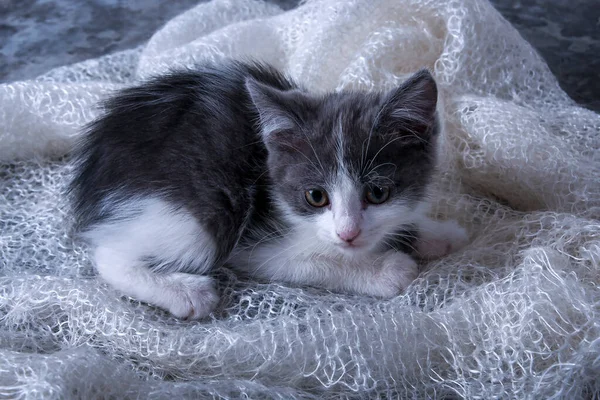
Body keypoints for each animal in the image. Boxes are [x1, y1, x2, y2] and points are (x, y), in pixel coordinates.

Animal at [68, 61, 466, 320]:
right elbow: (313, 261)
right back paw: (184, 292)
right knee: (109, 254)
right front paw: (383, 270)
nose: (348, 233)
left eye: (378, 193)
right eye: (315, 197)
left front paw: (436, 233)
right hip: (202, 216)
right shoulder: (254, 244)